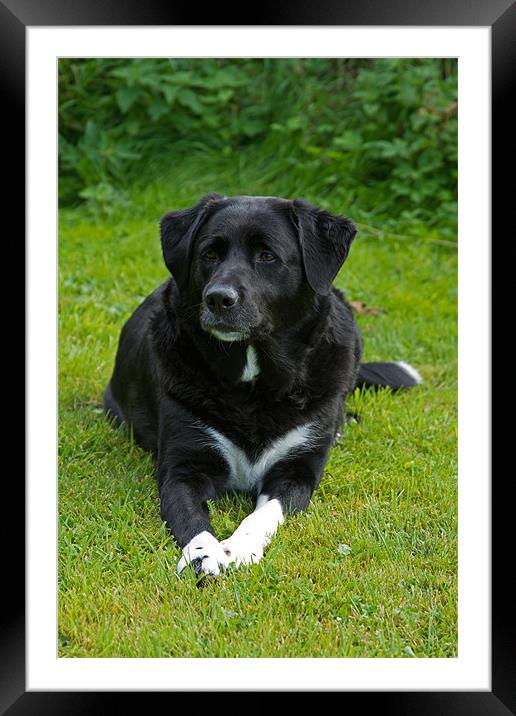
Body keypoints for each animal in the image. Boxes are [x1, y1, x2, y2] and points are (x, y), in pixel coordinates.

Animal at [103, 194, 422, 576]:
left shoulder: (297, 472)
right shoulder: (183, 468)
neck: (252, 382)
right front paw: (204, 555)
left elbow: (263, 514)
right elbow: (191, 518)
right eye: (209, 254)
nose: (218, 298)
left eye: (267, 256)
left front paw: (239, 547)